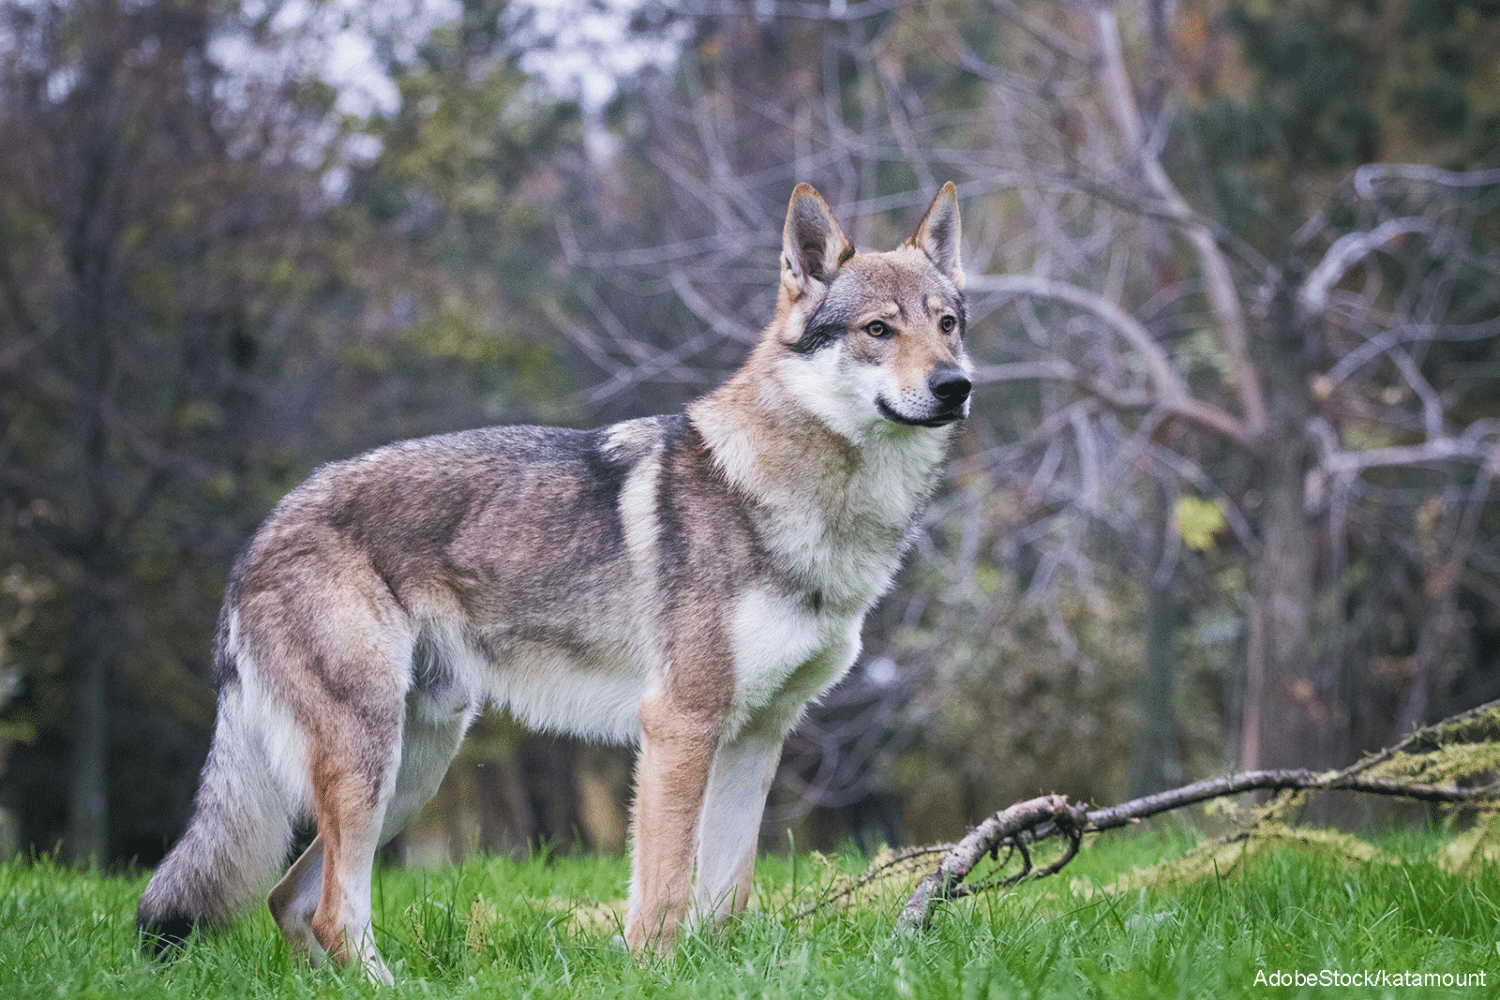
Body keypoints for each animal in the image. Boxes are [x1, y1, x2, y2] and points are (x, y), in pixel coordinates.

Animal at [136, 183, 972, 982]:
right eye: (878, 330)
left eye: (948, 323)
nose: (957, 386)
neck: (800, 502)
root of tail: (260, 535)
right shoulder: (678, 725)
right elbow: (663, 894)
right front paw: (651, 975)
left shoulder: (758, 735)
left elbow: (726, 898)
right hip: (376, 761)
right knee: (333, 911)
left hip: (416, 767)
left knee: (290, 899)